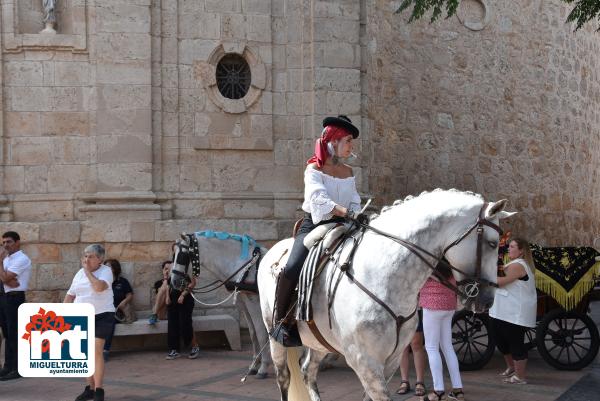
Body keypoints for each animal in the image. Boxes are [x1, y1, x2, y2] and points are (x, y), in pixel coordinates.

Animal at [169, 231, 272, 378]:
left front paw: (263, 367)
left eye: (183, 255)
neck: (245, 266)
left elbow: (261, 333)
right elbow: (253, 333)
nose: (174, 282)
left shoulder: (254, 302)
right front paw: (254, 365)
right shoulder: (243, 302)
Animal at [255, 190, 512, 400]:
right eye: (492, 243)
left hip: (319, 341)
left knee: (308, 371)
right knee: (284, 378)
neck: (382, 275)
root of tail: (273, 251)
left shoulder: (391, 360)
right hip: (275, 336)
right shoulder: (365, 361)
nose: (487, 300)